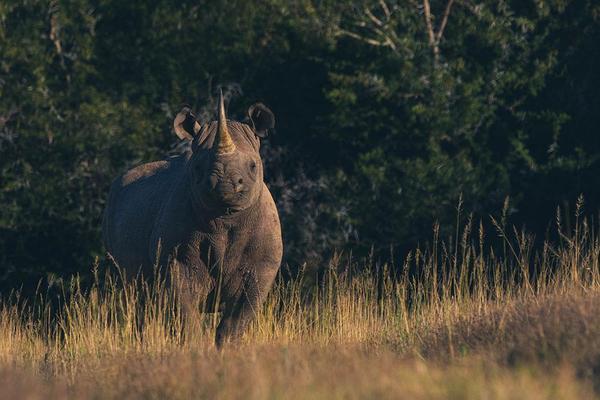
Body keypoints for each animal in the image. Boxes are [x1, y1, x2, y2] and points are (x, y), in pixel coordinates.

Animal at [102, 91, 282, 346]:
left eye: (253, 166)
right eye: (197, 167)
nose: (225, 184)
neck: (225, 217)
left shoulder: (261, 265)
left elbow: (238, 317)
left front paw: (228, 349)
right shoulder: (177, 260)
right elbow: (186, 313)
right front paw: (194, 349)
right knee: (138, 297)